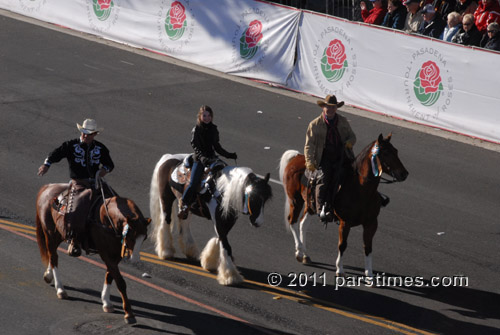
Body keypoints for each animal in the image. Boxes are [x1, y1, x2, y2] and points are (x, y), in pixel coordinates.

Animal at [35, 184, 150, 326]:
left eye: (144, 237)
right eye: (131, 236)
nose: (134, 260)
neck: (106, 219)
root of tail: (47, 187)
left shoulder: (114, 256)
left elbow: (110, 276)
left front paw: (106, 303)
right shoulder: (106, 254)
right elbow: (120, 282)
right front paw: (129, 314)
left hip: (59, 234)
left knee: (52, 255)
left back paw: (48, 275)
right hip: (50, 234)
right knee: (54, 257)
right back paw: (60, 289)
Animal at [149, 154, 272, 286]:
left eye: (265, 199)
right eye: (253, 197)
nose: (258, 222)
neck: (222, 192)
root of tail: (168, 157)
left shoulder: (226, 222)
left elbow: (220, 240)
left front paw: (209, 262)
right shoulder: (220, 223)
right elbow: (226, 246)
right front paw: (230, 276)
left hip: (186, 207)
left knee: (184, 223)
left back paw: (190, 250)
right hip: (165, 198)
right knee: (166, 222)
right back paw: (166, 251)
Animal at [280, 134, 408, 280]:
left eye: (396, 151)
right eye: (386, 152)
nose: (404, 174)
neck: (361, 189)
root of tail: (296, 157)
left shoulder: (371, 223)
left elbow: (368, 247)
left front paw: (369, 274)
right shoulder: (345, 222)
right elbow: (342, 245)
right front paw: (340, 270)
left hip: (310, 205)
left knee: (303, 224)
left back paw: (305, 255)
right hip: (296, 201)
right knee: (292, 221)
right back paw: (299, 251)